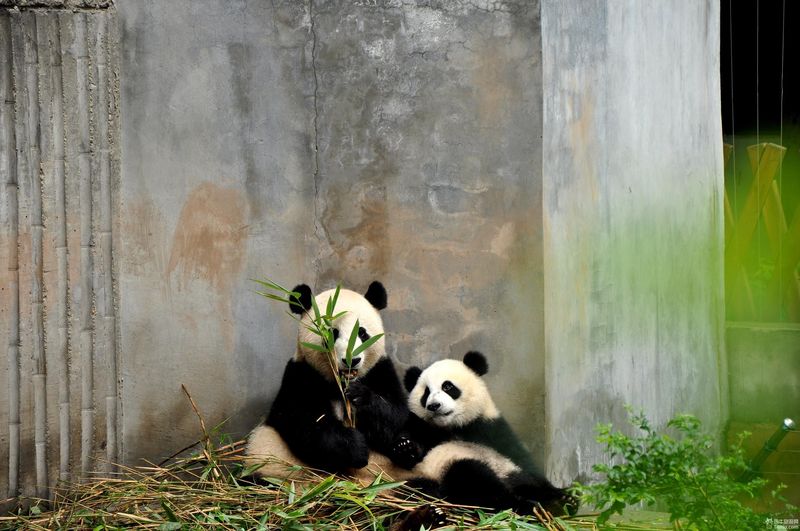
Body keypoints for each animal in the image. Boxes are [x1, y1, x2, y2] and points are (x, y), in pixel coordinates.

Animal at [245, 284, 418, 484]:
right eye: (332, 333)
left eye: (362, 333)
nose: (352, 360)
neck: (341, 383)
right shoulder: (300, 374)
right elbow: (303, 421)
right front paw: (356, 447)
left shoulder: (380, 370)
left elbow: (395, 413)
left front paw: (361, 396)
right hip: (270, 459)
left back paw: (405, 449)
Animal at [398, 352, 576, 516]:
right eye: (426, 393)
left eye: (447, 387)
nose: (434, 405)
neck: (453, 428)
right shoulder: (420, 428)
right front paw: (406, 447)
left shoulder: (491, 428)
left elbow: (523, 459)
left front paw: (559, 494)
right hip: (445, 470)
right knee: (475, 482)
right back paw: (527, 505)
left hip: (508, 469)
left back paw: (562, 501)